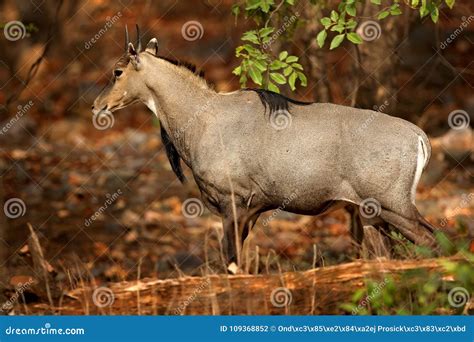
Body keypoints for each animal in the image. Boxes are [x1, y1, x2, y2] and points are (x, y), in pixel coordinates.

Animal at [90, 28, 438, 266]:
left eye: (117, 71)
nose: (96, 106)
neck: (202, 117)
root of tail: (419, 136)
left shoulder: (232, 202)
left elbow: (232, 264)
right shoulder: (251, 209)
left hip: (393, 205)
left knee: (433, 240)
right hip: (373, 214)